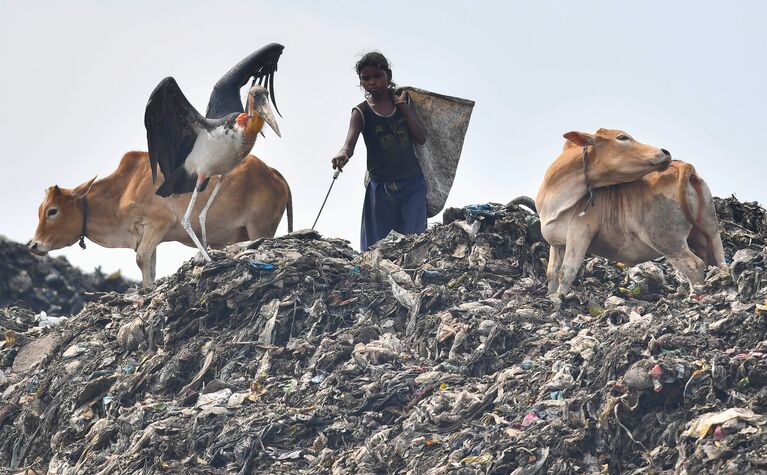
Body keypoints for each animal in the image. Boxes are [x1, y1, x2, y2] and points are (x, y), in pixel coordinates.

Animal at [27, 152, 292, 286]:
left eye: (52, 211)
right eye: (40, 210)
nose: (34, 245)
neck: (122, 189)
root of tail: (274, 173)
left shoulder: (158, 223)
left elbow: (140, 259)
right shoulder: (147, 234)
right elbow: (149, 265)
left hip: (260, 227)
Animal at [536, 129, 728, 302]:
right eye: (622, 137)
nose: (665, 152)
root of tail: (684, 166)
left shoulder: (580, 234)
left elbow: (566, 271)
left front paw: (559, 298)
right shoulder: (557, 244)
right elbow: (552, 272)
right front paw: (550, 294)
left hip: (667, 239)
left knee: (694, 265)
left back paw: (694, 296)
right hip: (710, 230)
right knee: (719, 261)